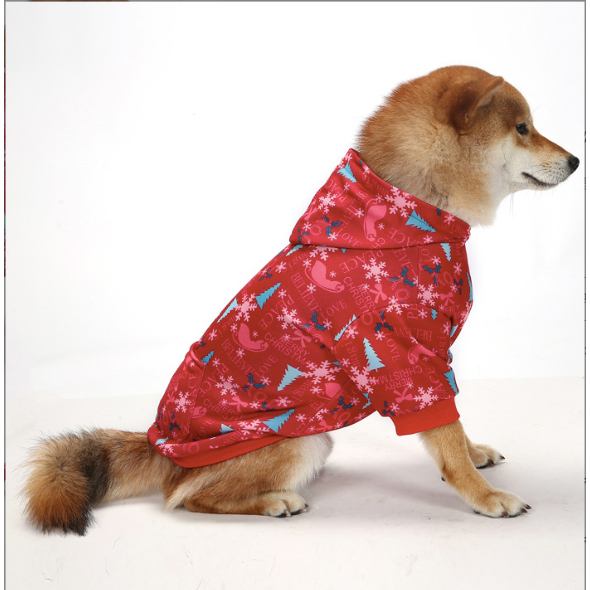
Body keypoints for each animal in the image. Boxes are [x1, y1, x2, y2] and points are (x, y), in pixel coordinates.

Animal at [22, 65, 579, 535]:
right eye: (523, 128)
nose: (575, 160)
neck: (409, 218)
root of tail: (160, 444)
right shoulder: (403, 358)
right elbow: (444, 435)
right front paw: (485, 496)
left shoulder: (435, 356)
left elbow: (455, 430)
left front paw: (474, 452)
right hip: (302, 439)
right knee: (185, 497)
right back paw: (273, 501)